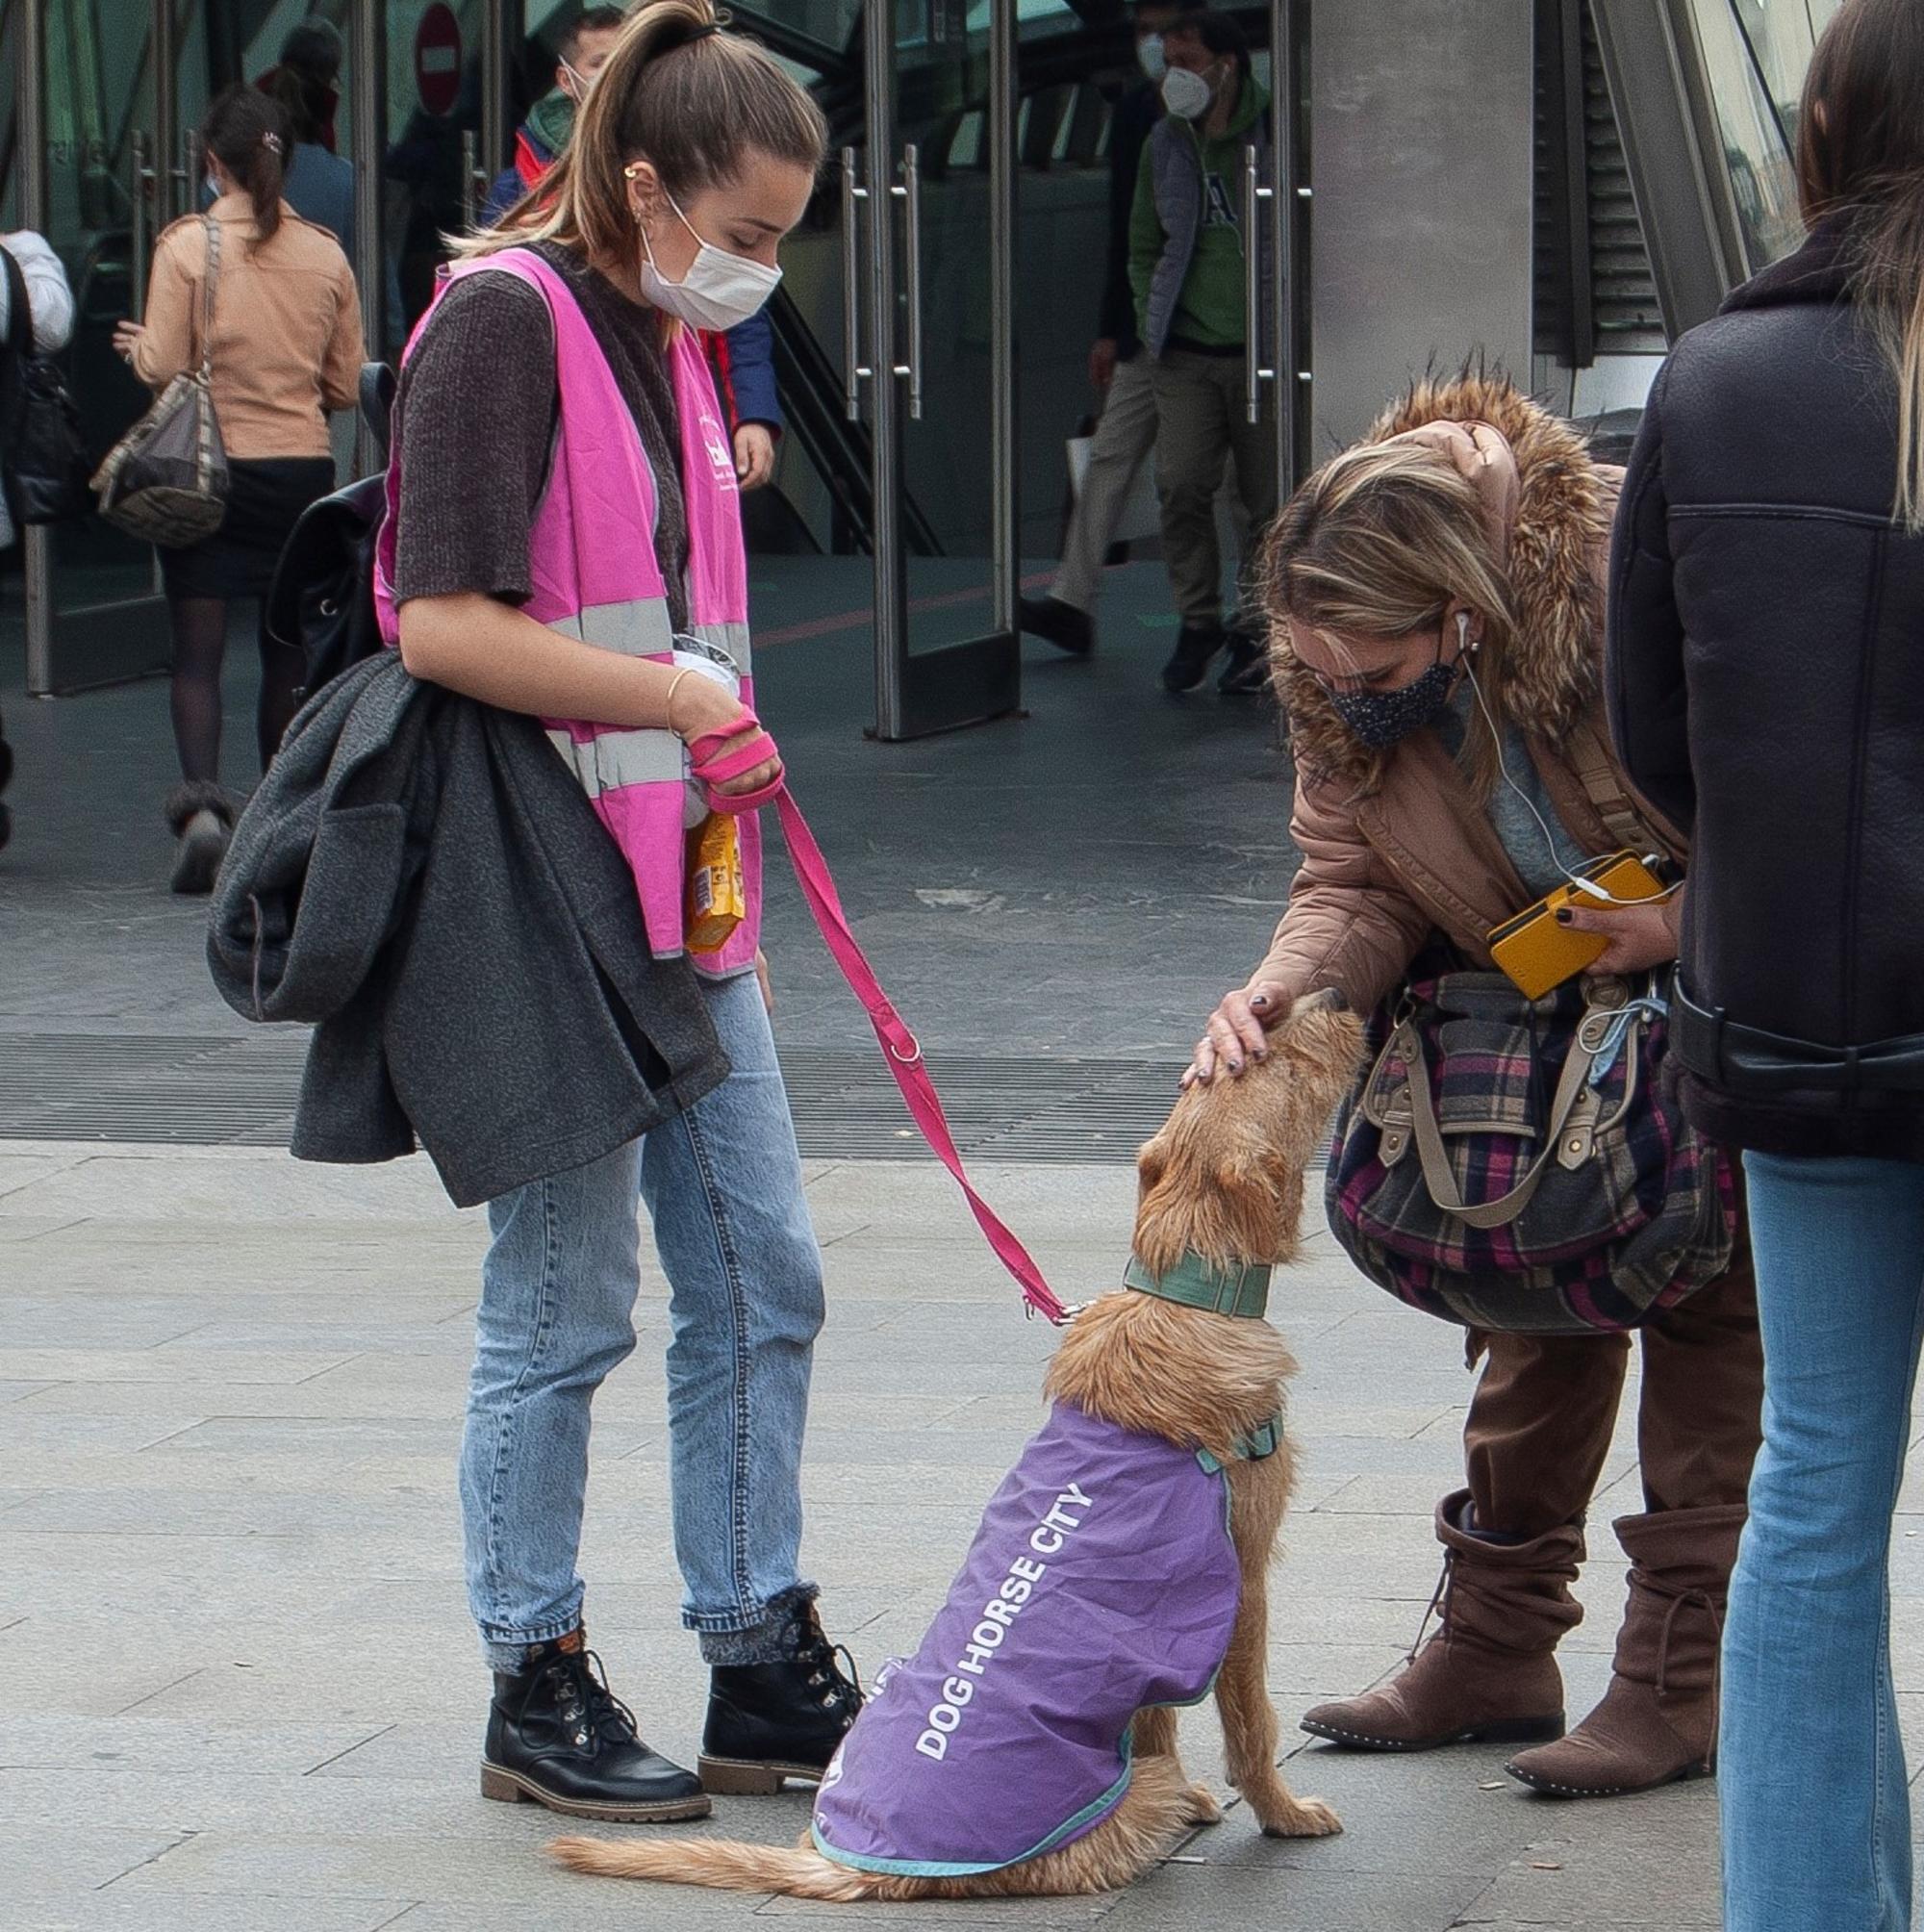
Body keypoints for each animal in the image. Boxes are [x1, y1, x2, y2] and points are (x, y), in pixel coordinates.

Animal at [552, 989, 1367, 1893]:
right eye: (1284, 1061)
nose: (1337, 995)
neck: (1182, 1294)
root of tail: (859, 1867)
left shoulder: (1168, 1625)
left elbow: (1154, 1717)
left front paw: (1211, 1798)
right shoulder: (1244, 1581)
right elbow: (1252, 1722)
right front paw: (1282, 1813)